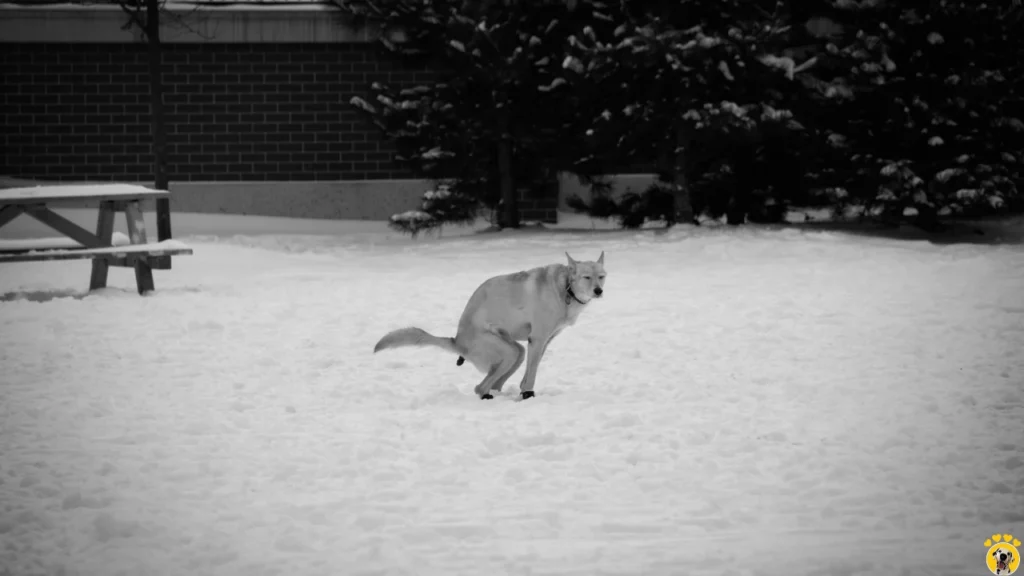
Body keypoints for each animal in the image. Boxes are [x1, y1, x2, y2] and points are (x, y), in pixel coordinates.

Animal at [372, 251, 602, 399]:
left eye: (601, 277)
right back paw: (487, 396)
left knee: (495, 382)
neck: (565, 288)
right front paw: (528, 393)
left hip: (515, 352)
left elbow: (531, 370)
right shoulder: (537, 339)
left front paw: (524, 390)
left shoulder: (543, 341)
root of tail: (457, 340)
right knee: (479, 387)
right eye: (586, 277)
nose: (598, 291)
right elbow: (532, 372)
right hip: (506, 351)